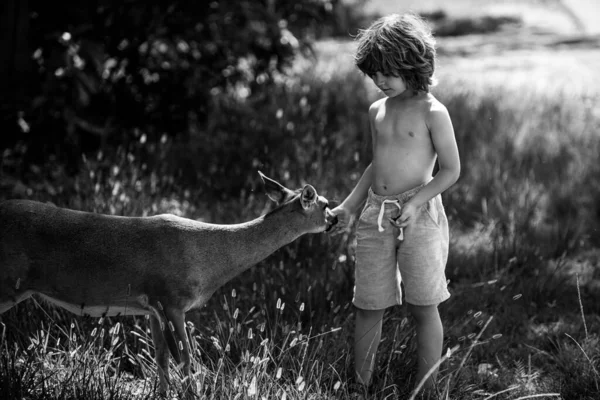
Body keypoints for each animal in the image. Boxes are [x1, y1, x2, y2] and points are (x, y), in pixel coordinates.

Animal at [0, 172, 338, 396]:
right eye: (323, 205)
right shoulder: (173, 300)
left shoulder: (151, 306)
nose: (335, 219)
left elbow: (161, 359)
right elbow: (188, 360)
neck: (211, 258)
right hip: (8, 282)